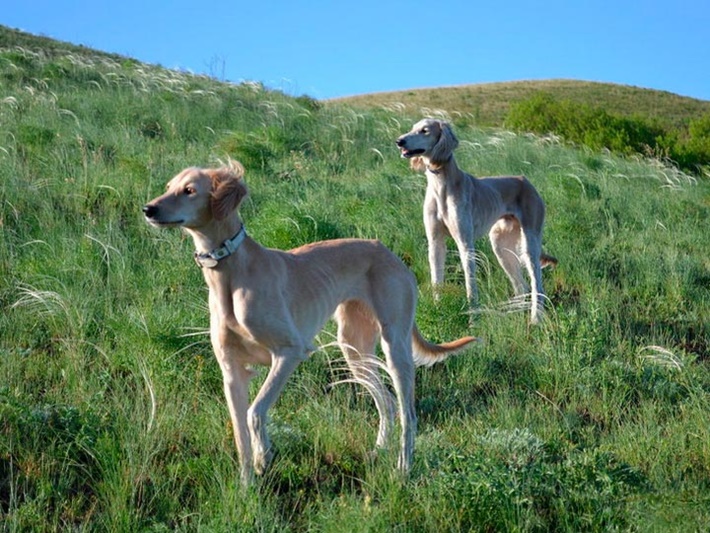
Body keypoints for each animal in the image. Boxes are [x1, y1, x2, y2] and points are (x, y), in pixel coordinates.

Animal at [143, 160, 478, 484]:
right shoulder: (232, 371)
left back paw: (403, 468)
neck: (230, 273)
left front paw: (264, 455)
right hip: (354, 349)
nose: (148, 209)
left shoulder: (290, 352)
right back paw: (379, 451)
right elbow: (240, 435)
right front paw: (247, 486)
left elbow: (255, 411)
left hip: (395, 346)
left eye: (189, 190)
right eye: (169, 187)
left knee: (408, 412)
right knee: (387, 402)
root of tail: (388, 252)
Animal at [398, 118, 560, 322]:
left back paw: (535, 319)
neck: (441, 185)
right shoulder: (435, 242)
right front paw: (437, 310)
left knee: (537, 284)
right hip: (501, 246)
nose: (399, 141)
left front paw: (472, 318)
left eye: (424, 130)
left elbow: (470, 285)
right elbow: (437, 281)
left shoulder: (465, 244)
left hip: (530, 243)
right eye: (412, 128)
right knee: (521, 286)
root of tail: (526, 181)